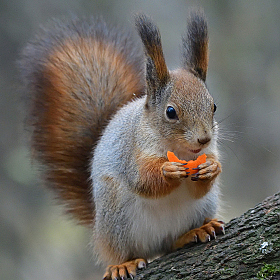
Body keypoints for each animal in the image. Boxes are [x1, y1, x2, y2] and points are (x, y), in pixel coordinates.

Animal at [19, 10, 223, 280]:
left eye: (213, 106)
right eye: (171, 112)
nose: (204, 139)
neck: (180, 150)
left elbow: (201, 185)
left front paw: (212, 167)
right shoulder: (131, 150)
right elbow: (143, 180)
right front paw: (168, 170)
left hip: (203, 207)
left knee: (172, 242)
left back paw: (195, 231)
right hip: (116, 219)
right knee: (124, 252)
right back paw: (122, 264)